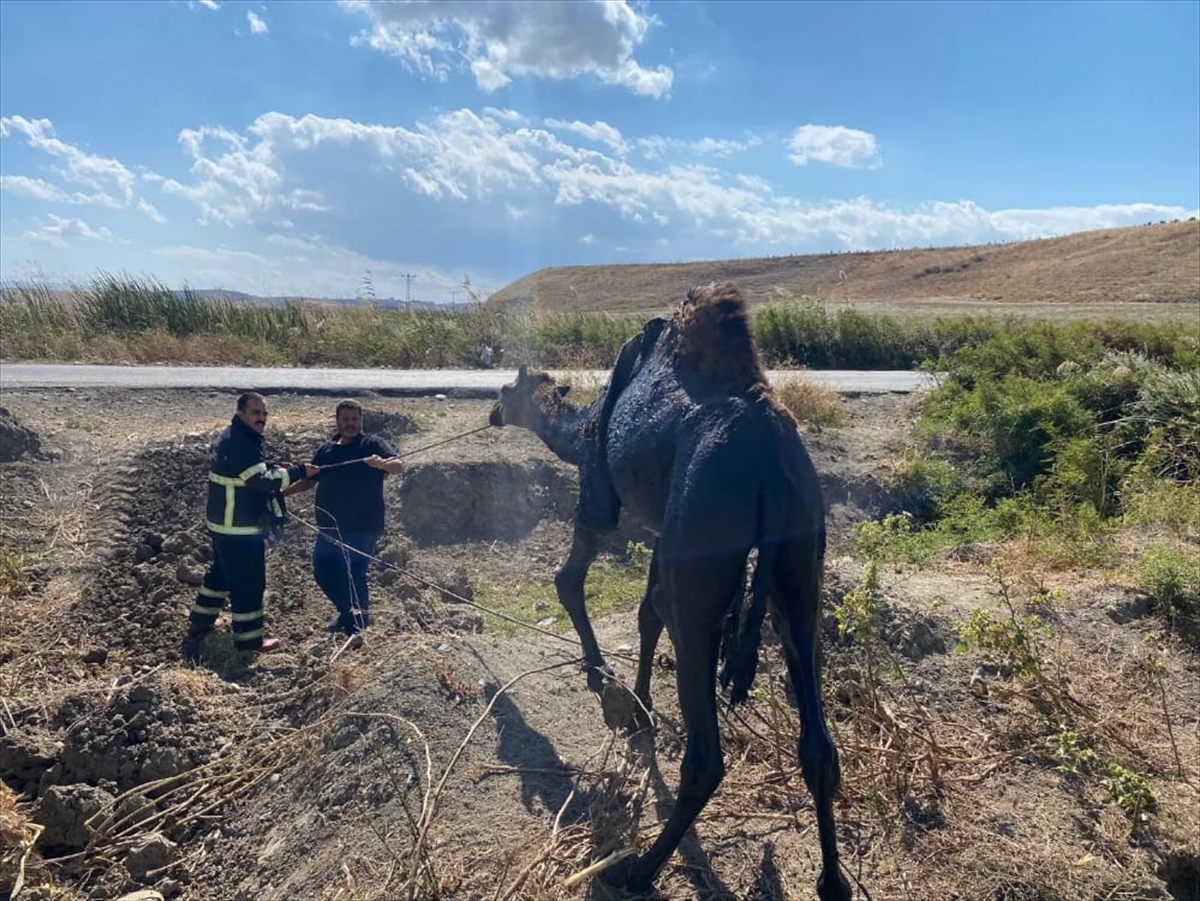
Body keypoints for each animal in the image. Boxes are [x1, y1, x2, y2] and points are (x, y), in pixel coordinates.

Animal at [489, 283, 854, 901]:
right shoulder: (665, 533)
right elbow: (646, 612)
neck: (581, 426)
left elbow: (572, 580)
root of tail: (772, 471)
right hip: (800, 557)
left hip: (706, 555)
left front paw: (606, 683)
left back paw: (638, 870)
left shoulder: (600, 493)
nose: (491, 411)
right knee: (818, 740)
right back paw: (832, 882)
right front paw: (639, 706)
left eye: (505, 389)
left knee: (706, 755)